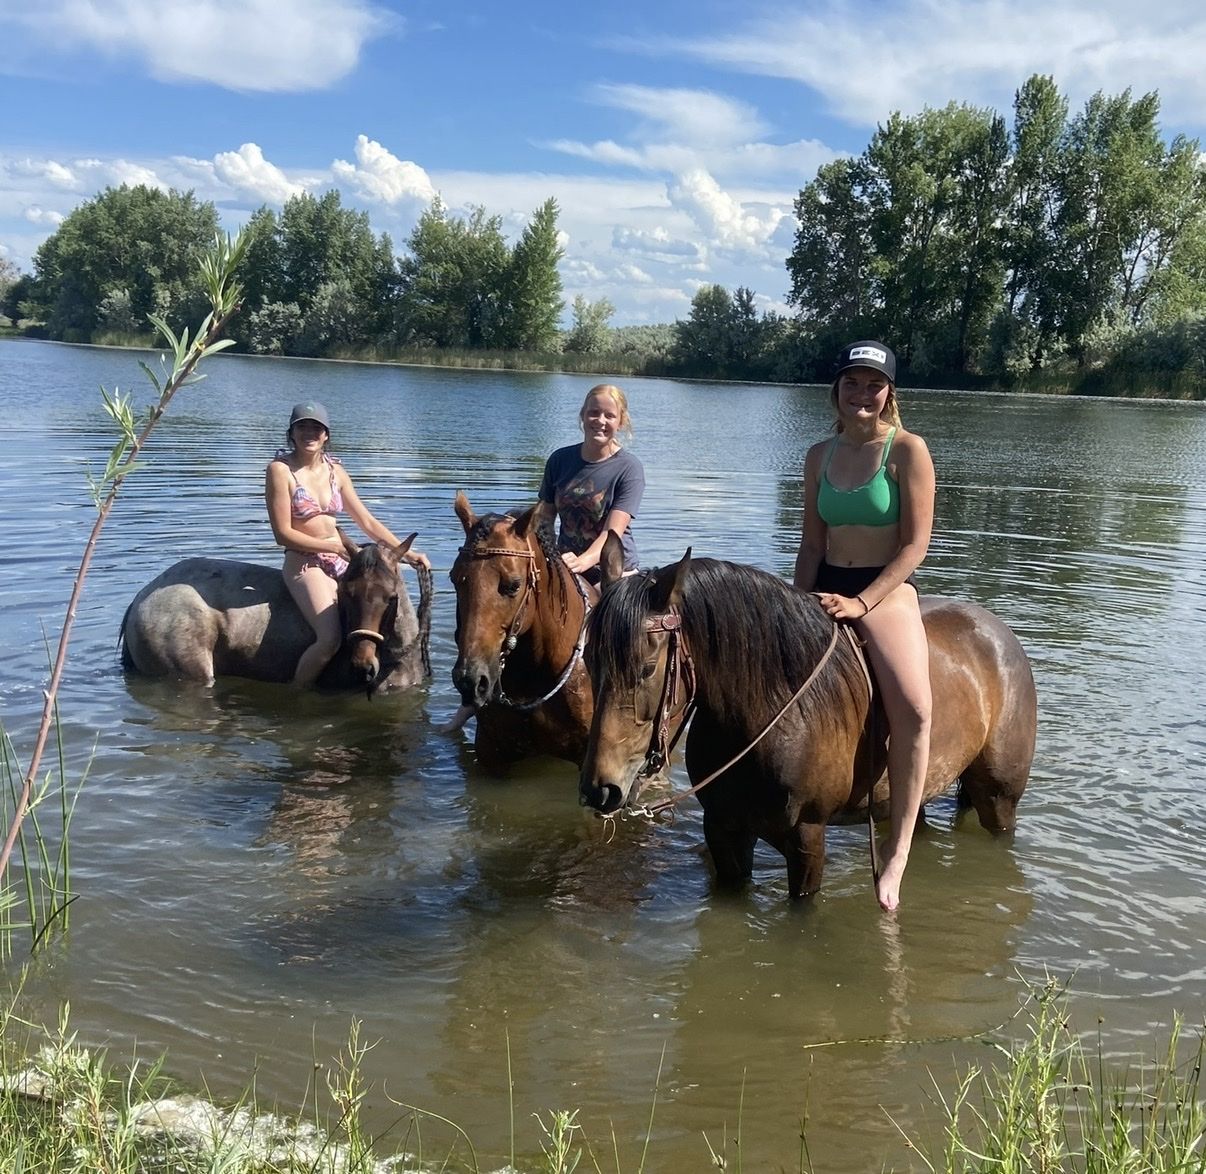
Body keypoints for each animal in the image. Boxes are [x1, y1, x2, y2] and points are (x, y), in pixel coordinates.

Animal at [579, 535, 1037, 900]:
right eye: (589, 660)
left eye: (646, 669)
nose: (600, 790)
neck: (769, 716)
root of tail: (996, 631)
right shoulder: (723, 830)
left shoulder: (807, 837)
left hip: (999, 797)